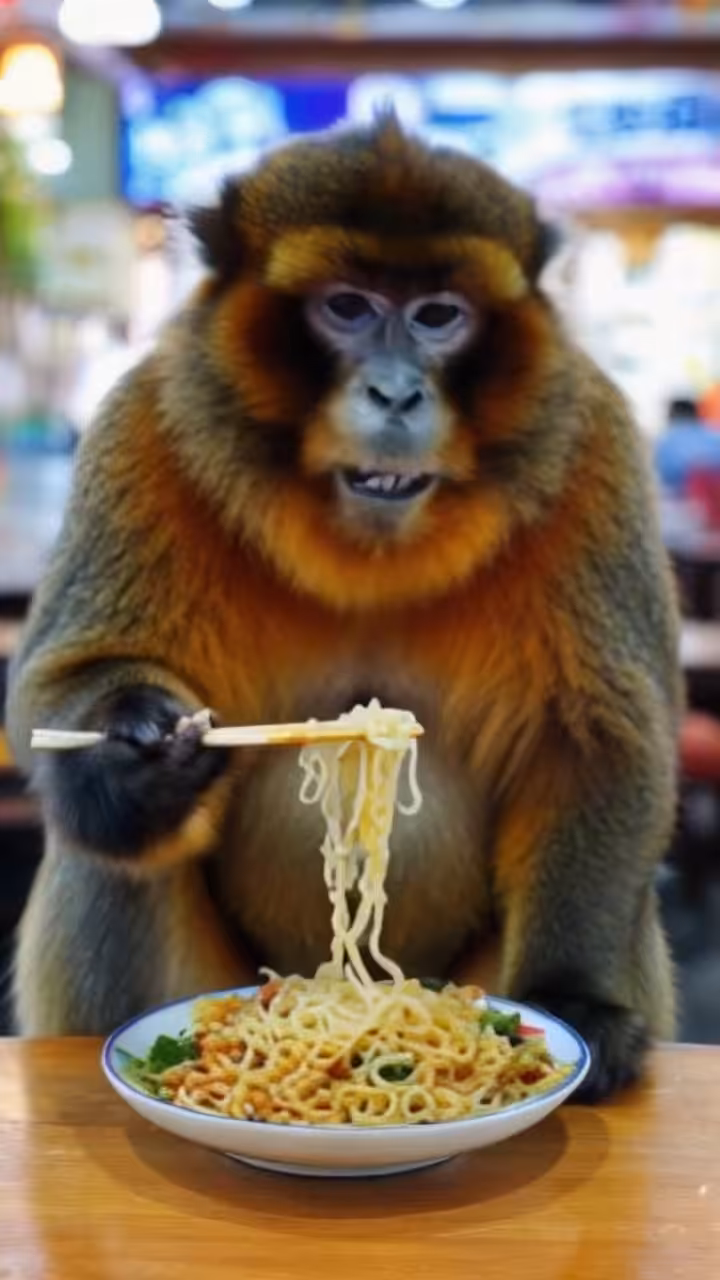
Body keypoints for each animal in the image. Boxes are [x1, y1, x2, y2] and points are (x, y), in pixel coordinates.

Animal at [5, 115, 682, 1101]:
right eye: (350, 308)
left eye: (438, 315)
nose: (396, 392)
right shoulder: (149, 420)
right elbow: (58, 687)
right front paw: (133, 750)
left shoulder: (590, 439)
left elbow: (596, 742)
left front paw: (576, 1000)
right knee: (104, 856)